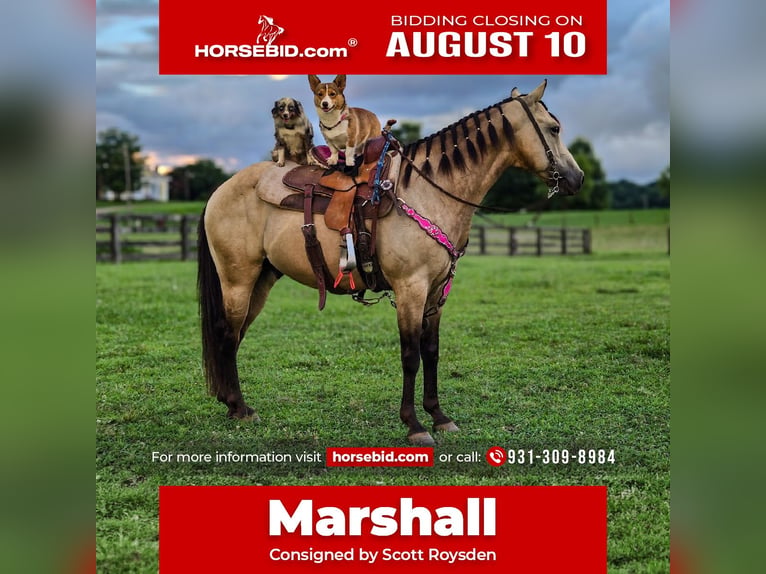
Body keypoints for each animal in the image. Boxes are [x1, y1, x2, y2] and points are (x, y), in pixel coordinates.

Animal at [197, 80, 584, 446]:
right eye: (553, 128)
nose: (577, 178)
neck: (429, 192)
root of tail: (220, 191)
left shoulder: (436, 291)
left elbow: (431, 350)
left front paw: (439, 416)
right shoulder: (411, 287)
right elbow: (410, 355)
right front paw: (414, 425)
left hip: (262, 279)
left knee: (236, 335)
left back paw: (234, 404)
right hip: (238, 278)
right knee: (226, 333)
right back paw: (239, 408)